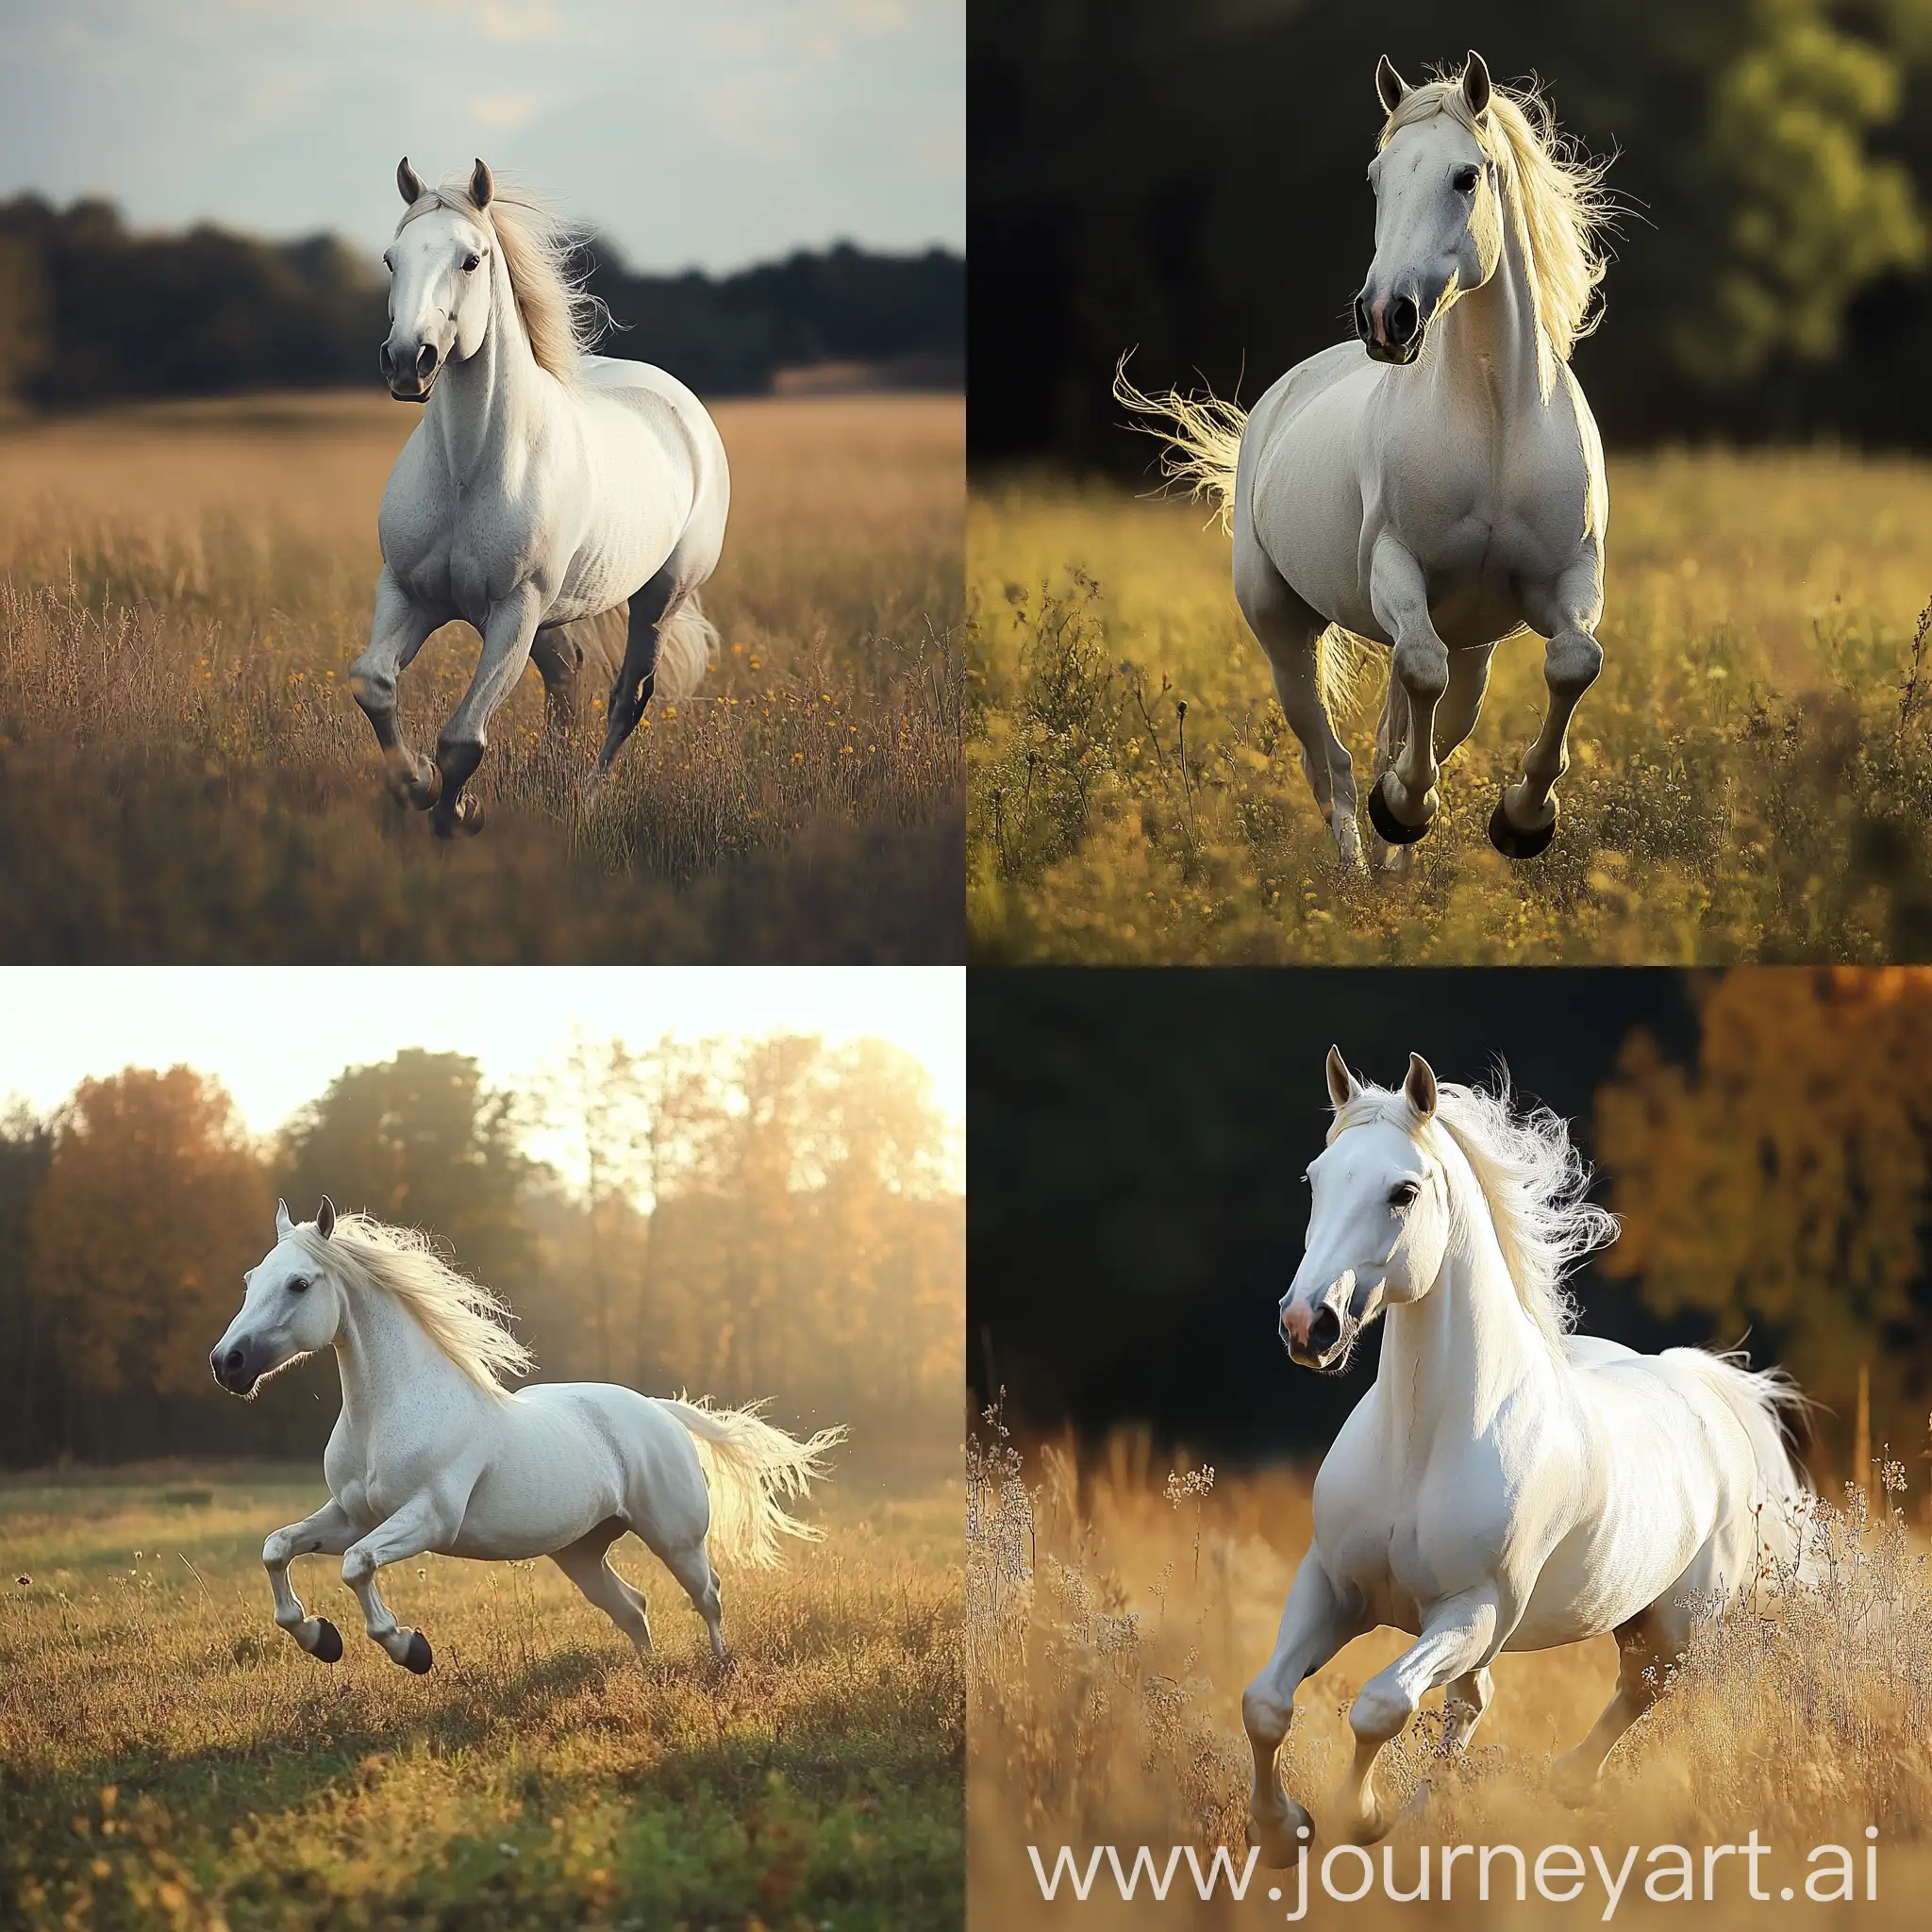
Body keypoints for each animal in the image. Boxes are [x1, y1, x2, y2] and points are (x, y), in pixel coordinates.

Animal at [213, 1205, 846, 1676]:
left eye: (299, 1283)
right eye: (249, 1280)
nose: (227, 1363)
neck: (388, 1415)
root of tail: (658, 1411)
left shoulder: (429, 1519)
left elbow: (356, 1565)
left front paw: (409, 1649)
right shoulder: (351, 1516)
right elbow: (277, 1548)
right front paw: (320, 1637)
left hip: (677, 1539)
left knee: (708, 1595)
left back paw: (721, 1667)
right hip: (581, 1551)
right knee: (632, 1608)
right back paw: (648, 1673)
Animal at [345, 158, 726, 838]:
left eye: (471, 260)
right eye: (391, 259)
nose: (407, 362)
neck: (470, 471)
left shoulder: (513, 611)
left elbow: (464, 739)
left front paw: (457, 812)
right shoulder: (409, 594)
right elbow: (374, 684)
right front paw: (414, 782)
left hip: (657, 599)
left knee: (627, 697)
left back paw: (584, 800)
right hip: (552, 617)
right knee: (566, 676)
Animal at [1120, 53, 1615, 873]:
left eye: (1465, 177)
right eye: (1378, 177)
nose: (1387, 316)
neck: (1494, 423)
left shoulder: (1565, 581)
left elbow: (1573, 664)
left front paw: (1522, 820)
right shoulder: (1396, 570)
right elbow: (1416, 674)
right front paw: (1407, 809)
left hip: (1475, 648)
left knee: (1420, 728)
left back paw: (1393, 869)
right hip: (1282, 631)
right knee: (1332, 763)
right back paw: (1359, 866)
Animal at [1236, 1058, 1807, 1855]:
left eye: (1403, 1192)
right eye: (1316, 1180)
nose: (1306, 1325)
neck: (1421, 1444)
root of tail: (1700, 1382)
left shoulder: (1473, 1611)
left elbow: (1380, 1705)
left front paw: (1360, 1817)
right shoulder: (1332, 1584)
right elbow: (1266, 1703)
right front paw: (1279, 1828)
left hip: (1674, 1630)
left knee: (1633, 1693)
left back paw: (1563, 1784)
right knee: (1475, 1701)